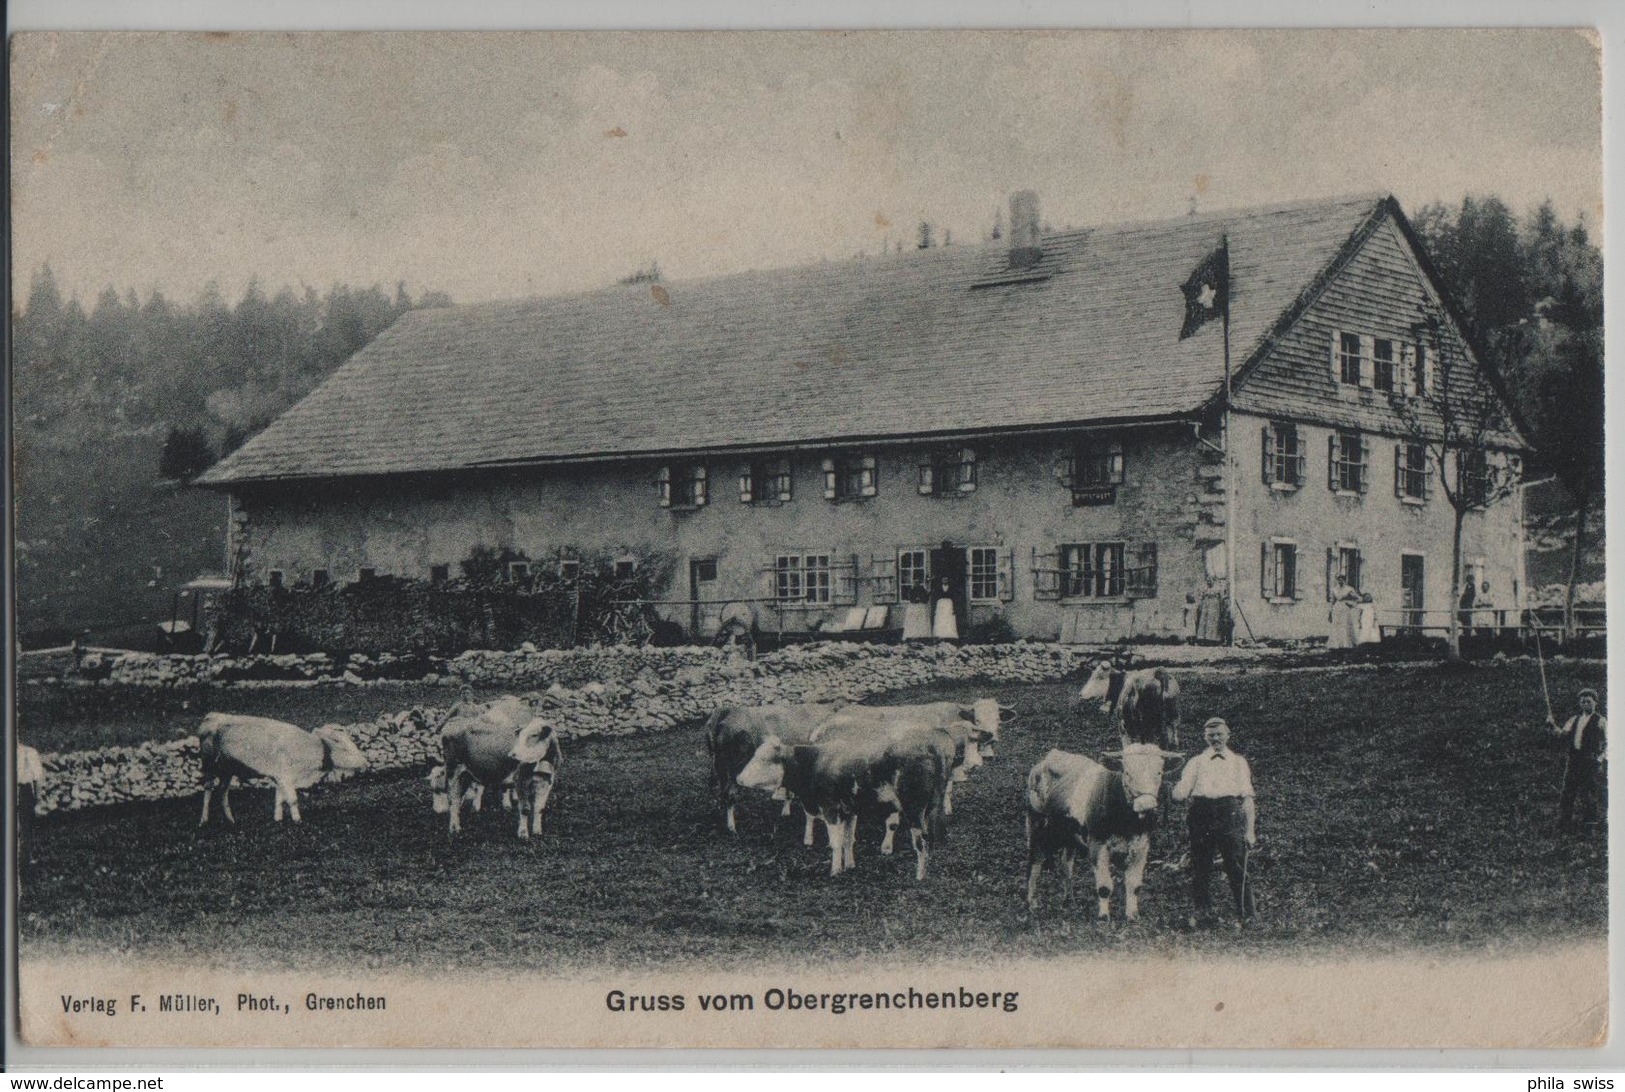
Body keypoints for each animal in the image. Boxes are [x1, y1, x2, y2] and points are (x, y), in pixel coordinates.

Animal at [195, 711, 367, 822]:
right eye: (344, 748)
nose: (365, 763)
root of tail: (211, 716)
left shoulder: (279, 776)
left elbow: (279, 798)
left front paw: (278, 819)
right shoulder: (285, 776)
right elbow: (292, 799)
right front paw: (297, 820)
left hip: (227, 769)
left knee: (222, 791)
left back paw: (231, 820)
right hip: (209, 764)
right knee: (208, 789)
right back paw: (204, 820)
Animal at [435, 705, 562, 838]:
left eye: (534, 735)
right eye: (520, 735)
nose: (512, 755)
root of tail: (455, 721)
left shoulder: (547, 782)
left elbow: (540, 808)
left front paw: (537, 831)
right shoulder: (520, 779)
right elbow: (525, 808)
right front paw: (523, 834)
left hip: (466, 774)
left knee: (458, 796)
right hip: (452, 769)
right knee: (452, 798)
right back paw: (454, 829)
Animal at [702, 705, 845, 832]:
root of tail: (726, 711)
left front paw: (786, 811)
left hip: (719, 764)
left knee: (722, 791)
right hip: (736, 765)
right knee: (729, 793)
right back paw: (732, 827)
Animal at [741, 728, 949, 884]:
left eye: (764, 759)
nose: (739, 778)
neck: (815, 763)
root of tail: (929, 749)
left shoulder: (831, 809)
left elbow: (836, 842)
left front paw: (835, 871)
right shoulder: (850, 812)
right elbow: (849, 840)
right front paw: (849, 865)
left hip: (914, 809)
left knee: (921, 842)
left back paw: (920, 876)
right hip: (929, 809)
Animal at [1027, 741, 1183, 923]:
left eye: (1159, 772)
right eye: (1127, 772)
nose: (1146, 804)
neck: (1127, 824)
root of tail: (1050, 756)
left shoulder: (1142, 846)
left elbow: (1134, 885)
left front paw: (1132, 915)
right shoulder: (1097, 843)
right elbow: (1104, 886)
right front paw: (1103, 917)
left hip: (1070, 834)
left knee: (1066, 864)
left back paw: (1069, 901)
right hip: (1037, 826)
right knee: (1035, 863)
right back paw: (1032, 904)